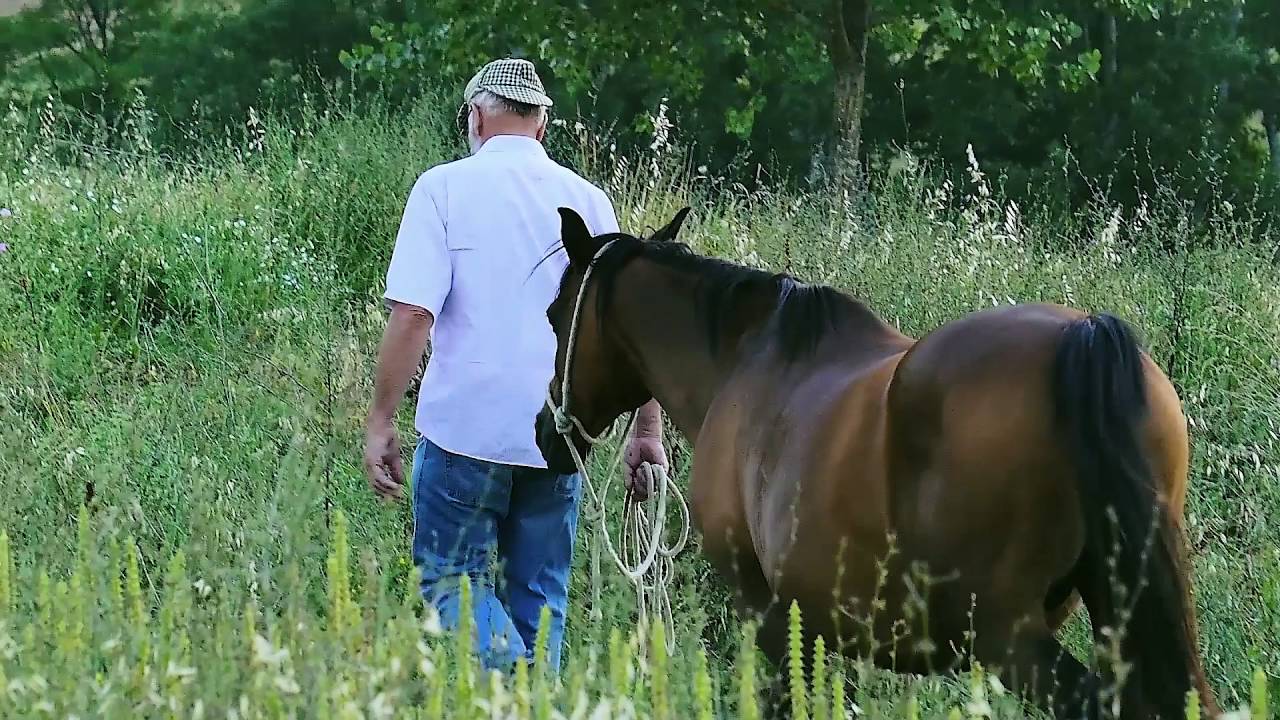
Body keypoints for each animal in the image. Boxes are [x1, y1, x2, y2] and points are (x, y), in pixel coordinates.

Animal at [533, 206, 1218, 720]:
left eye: (554, 314)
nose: (545, 432)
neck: (743, 360)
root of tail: (1084, 337)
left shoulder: (766, 612)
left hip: (1009, 640)